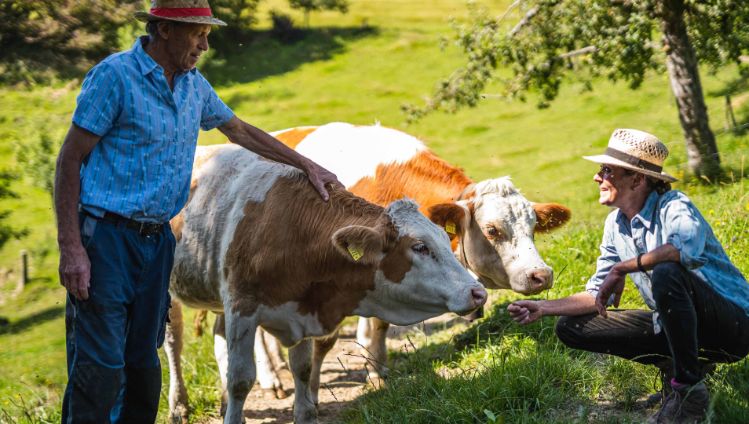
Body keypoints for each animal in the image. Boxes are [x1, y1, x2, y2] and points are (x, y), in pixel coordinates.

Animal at [164, 144, 486, 422]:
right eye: (419, 247)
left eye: (445, 238)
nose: (478, 292)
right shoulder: (242, 306)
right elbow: (241, 378)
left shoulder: (301, 308)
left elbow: (303, 370)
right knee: (173, 343)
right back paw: (179, 406)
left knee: (219, 340)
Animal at [268, 121, 568, 380]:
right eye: (492, 230)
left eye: (533, 225)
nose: (541, 275)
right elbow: (325, 340)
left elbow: (378, 326)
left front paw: (377, 371)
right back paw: (272, 377)